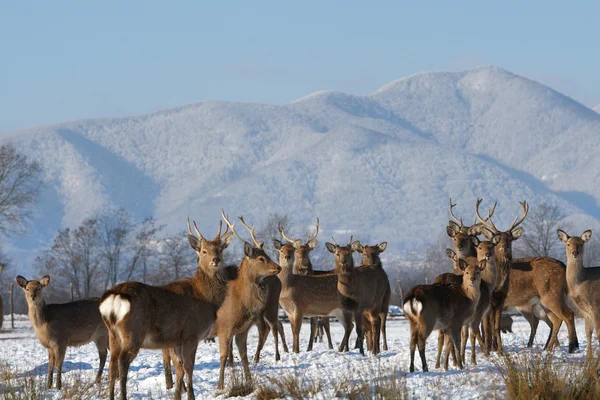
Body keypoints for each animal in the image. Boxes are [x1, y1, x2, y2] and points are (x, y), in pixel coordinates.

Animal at [101, 217, 234, 400]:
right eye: (204, 251)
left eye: (220, 249)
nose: (216, 260)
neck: (208, 298)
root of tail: (114, 297)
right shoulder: (191, 333)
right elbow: (188, 367)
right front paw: (191, 396)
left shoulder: (176, 339)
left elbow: (179, 368)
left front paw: (177, 395)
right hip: (133, 331)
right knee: (122, 362)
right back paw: (123, 396)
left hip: (113, 334)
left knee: (112, 364)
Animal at [216, 214, 282, 390]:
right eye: (261, 258)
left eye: (268, 255)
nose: (278, 267)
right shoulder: (224, 327)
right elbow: (223, 357)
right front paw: (220, 386)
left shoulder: (242, 329)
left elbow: (244, 356)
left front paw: (249, 381)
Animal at [278, 219, 336, 350]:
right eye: (296, 250)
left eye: (308, 250)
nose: (287, 257)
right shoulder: (289, 311)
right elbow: (295, 330)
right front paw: (299, 349)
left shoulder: (300, 306)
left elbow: (298, 330)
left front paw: (297, 350)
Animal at [476, 199, 580, 354]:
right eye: (497, 240)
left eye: (510, 239)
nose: (504, 247)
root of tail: (563, 266)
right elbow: (489, 327)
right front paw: (493, 349)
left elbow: (490, 327)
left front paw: (491, 349)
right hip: (545, 302)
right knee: (556, 320)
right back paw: (548, 347)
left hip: (552, 294)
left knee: (567, 314)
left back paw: (572, 347)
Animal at [556, 228, 600, 360]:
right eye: (568, 244)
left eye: (581, 243)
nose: (575, 253)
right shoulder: (586, 311)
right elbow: (588, 332)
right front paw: (588, 360)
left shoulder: (596, 305)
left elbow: (598, 332)